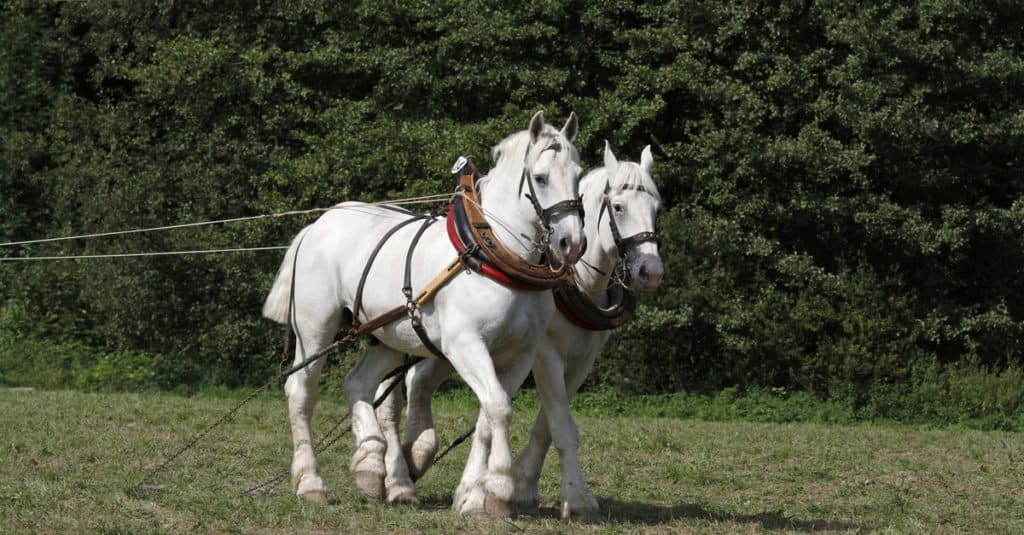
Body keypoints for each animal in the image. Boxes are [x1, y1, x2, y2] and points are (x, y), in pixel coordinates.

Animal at [261, 111, 586, 517]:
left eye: (578, 175)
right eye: (540, 178)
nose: (571, 243)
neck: (496, 255)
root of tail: (316, 225)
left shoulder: (520, 354)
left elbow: (490, 413)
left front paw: (477, 494)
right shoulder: (465, 345)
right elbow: (498, 407)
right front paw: (498, 488)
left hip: (386, 335)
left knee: (358, 383)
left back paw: (371, 464)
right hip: (315, 328)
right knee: (301, 392)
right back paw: (310, 482)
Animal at [379, 142, 664, 520]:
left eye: (657, 208)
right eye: (618, 207)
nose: (651, 271)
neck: (574, 283)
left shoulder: (580, 360)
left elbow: (545, 424)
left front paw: (518, 485)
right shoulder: (544, 355)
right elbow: (560, 425)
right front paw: (575, 499)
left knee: (419, 380)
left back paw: (418, 455)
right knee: (388, 399)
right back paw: (394, 479)